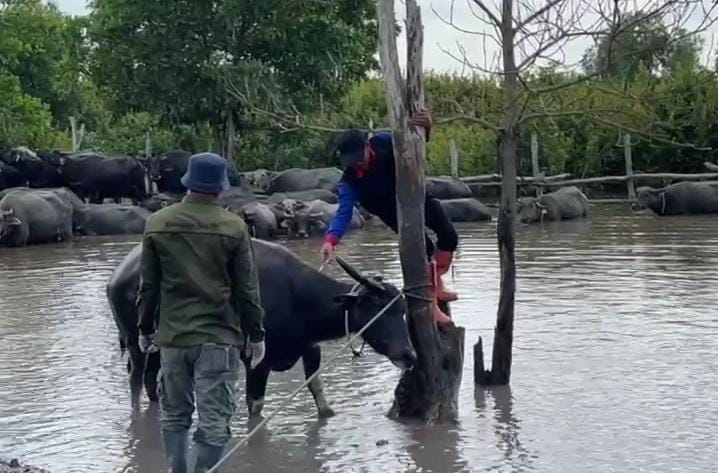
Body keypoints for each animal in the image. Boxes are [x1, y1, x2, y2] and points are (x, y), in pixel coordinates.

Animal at [103, 240, 414, 416]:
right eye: (376, 309)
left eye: (402, 310)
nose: (409, 355)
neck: (297, 299)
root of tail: (117, 276)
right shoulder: (256, 361)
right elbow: (256, 406)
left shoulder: (311, 349)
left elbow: (319, 395)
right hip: (135, 341)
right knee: (135, 379)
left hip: (158, 347)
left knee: (150, 378)